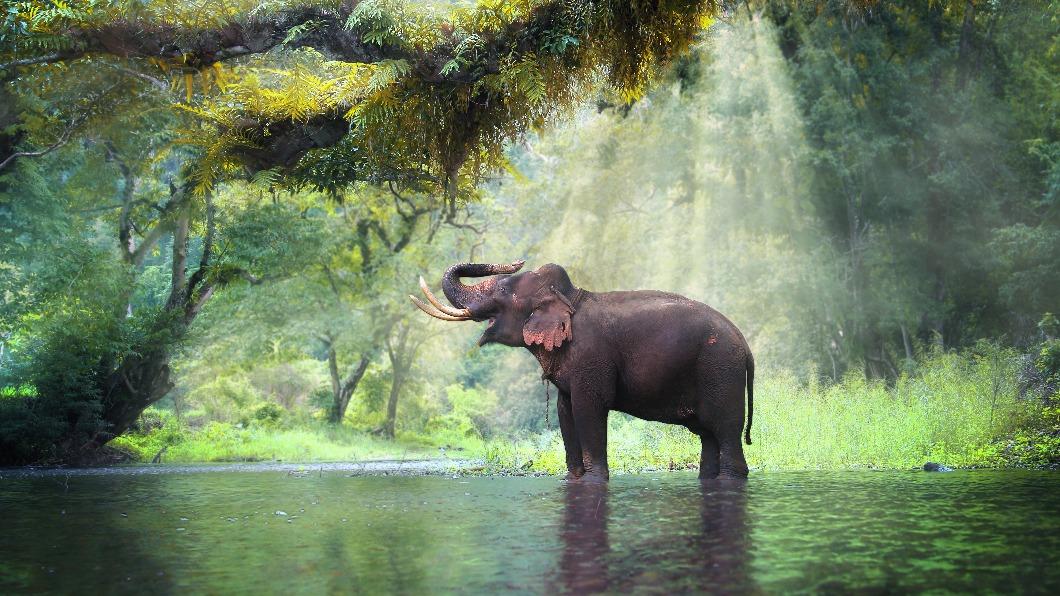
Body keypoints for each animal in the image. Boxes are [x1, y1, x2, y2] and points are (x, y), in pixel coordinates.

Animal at [410, 260, 754, 482]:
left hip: (721, 372)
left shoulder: (591, 357)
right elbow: (565, 411)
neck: (569, 297)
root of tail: (747, 348)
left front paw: (594, 481)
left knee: (725, 433)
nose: (514, 261)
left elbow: (589, 408)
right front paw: (573, 478)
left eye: (505, 290)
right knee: (708, 437)